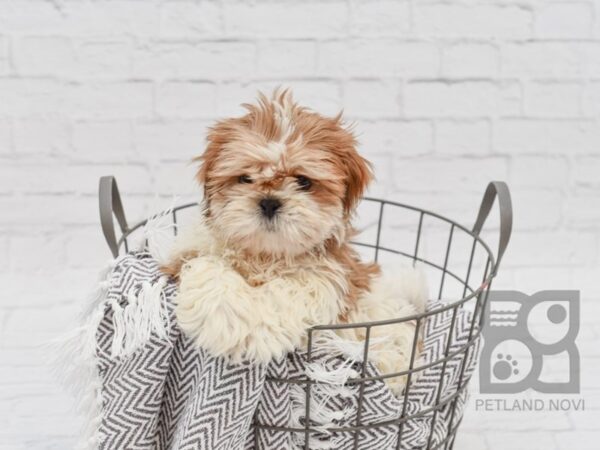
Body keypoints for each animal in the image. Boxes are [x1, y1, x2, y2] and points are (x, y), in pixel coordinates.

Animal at [164, 89, 426, 392]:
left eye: (303, 181)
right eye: (245, 178)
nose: (269, 202)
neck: (266, 255)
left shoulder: (331, 279)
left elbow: (290, 291)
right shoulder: (189, 251)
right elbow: (208, 269)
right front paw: (226, 322)